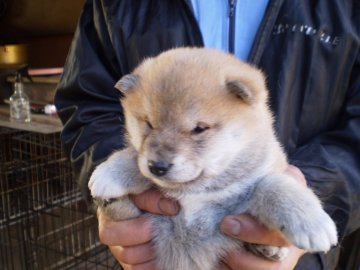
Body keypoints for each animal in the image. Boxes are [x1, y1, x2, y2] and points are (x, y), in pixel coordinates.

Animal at [89, 47, 338, 268]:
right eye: (148, 123)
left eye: (199, 129)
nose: (157, 166)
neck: (196, 192)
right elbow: (133, 155)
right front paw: (110, 174)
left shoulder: (240, 205)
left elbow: (273, 185)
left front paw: (311, 222)